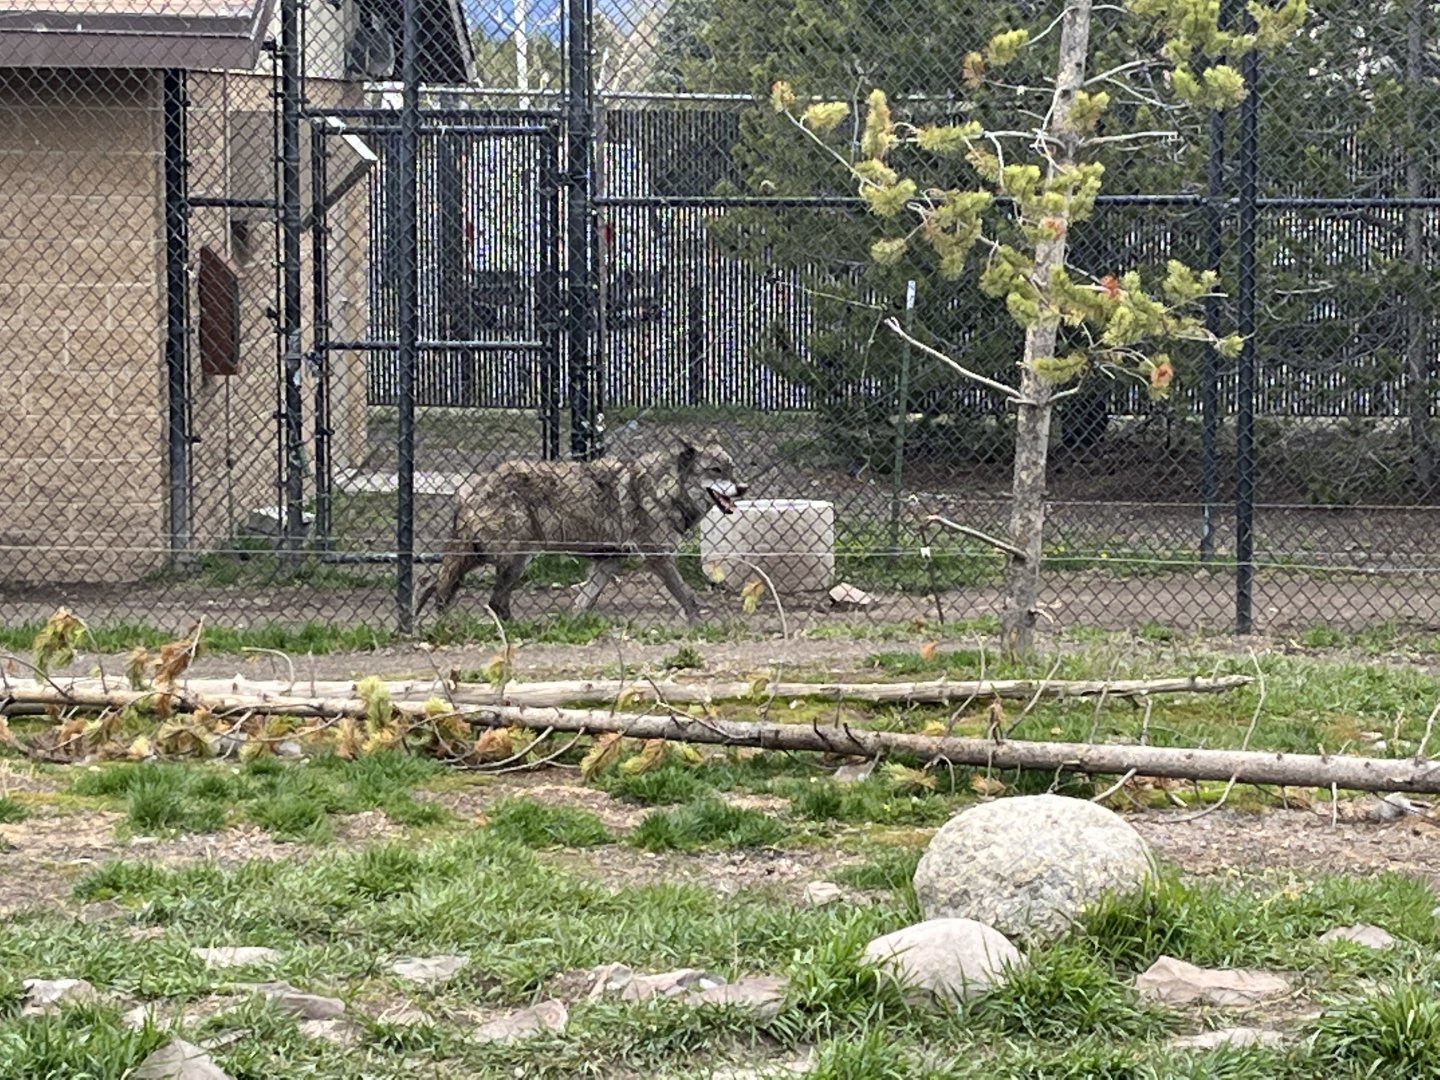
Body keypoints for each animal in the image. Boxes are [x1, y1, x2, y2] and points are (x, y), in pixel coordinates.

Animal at [415, 438, 749, 623]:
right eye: (716, 470)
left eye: (732, 467)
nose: (744, 487)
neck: (662, 490)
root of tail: (471, 487)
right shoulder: (657, 558)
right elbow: (688, 596)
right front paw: (703, 628)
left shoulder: (610, 562)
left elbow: (583, 602)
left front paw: (571, 623)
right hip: (503, 556)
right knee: (449, 587)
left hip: (511, 560)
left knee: (466, 592)